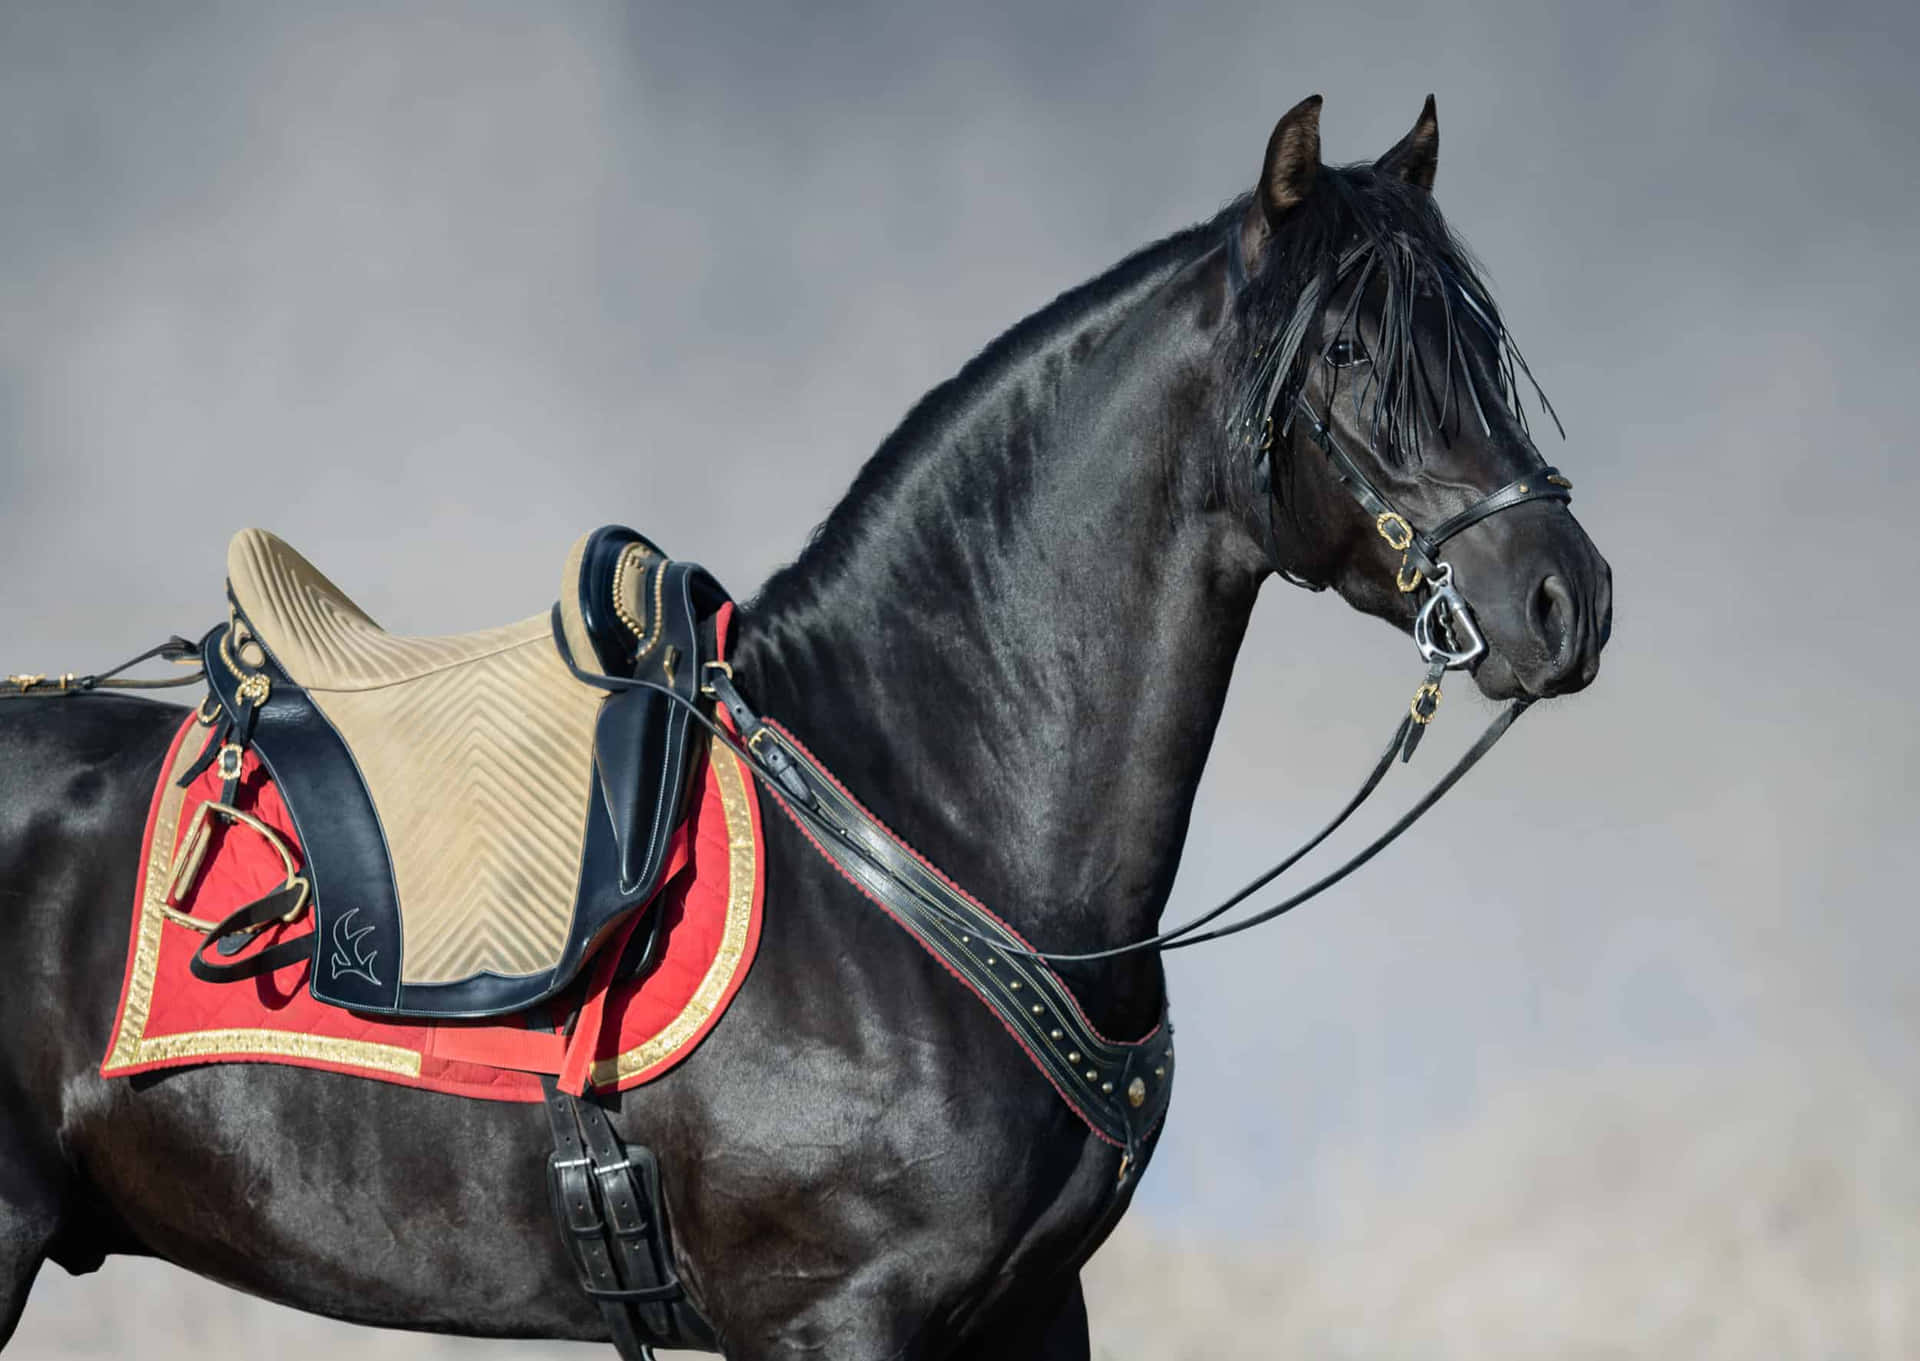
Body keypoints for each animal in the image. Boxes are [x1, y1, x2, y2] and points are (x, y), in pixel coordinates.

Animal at [0, 94, 1610, 1359]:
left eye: (1483, 343)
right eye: (1348, 348)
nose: (1566, 600)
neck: (923, 809)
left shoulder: (1033, 1311)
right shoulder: (831, 1315)